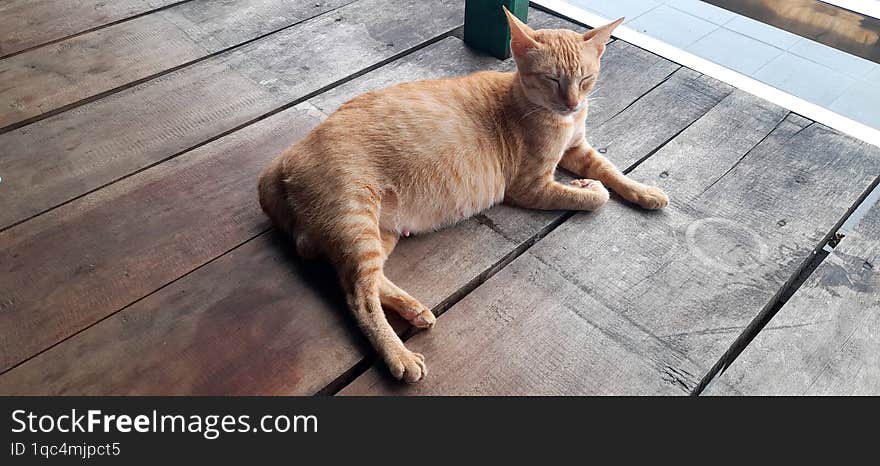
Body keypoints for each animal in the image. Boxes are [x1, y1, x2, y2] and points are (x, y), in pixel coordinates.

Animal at [258, 8, 672, 382]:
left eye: (586, 79)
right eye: (552, 79)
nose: (573, 104)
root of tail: (279, 162)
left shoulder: (578, 150)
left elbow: (611, 170)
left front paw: (644, 191)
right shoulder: (530, 186)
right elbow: (597, 196)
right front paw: (588, 189)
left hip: (380, 232)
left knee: (372, 281)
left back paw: (414, 310)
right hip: (355, 222)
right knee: (358, 295)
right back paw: (399, 356)